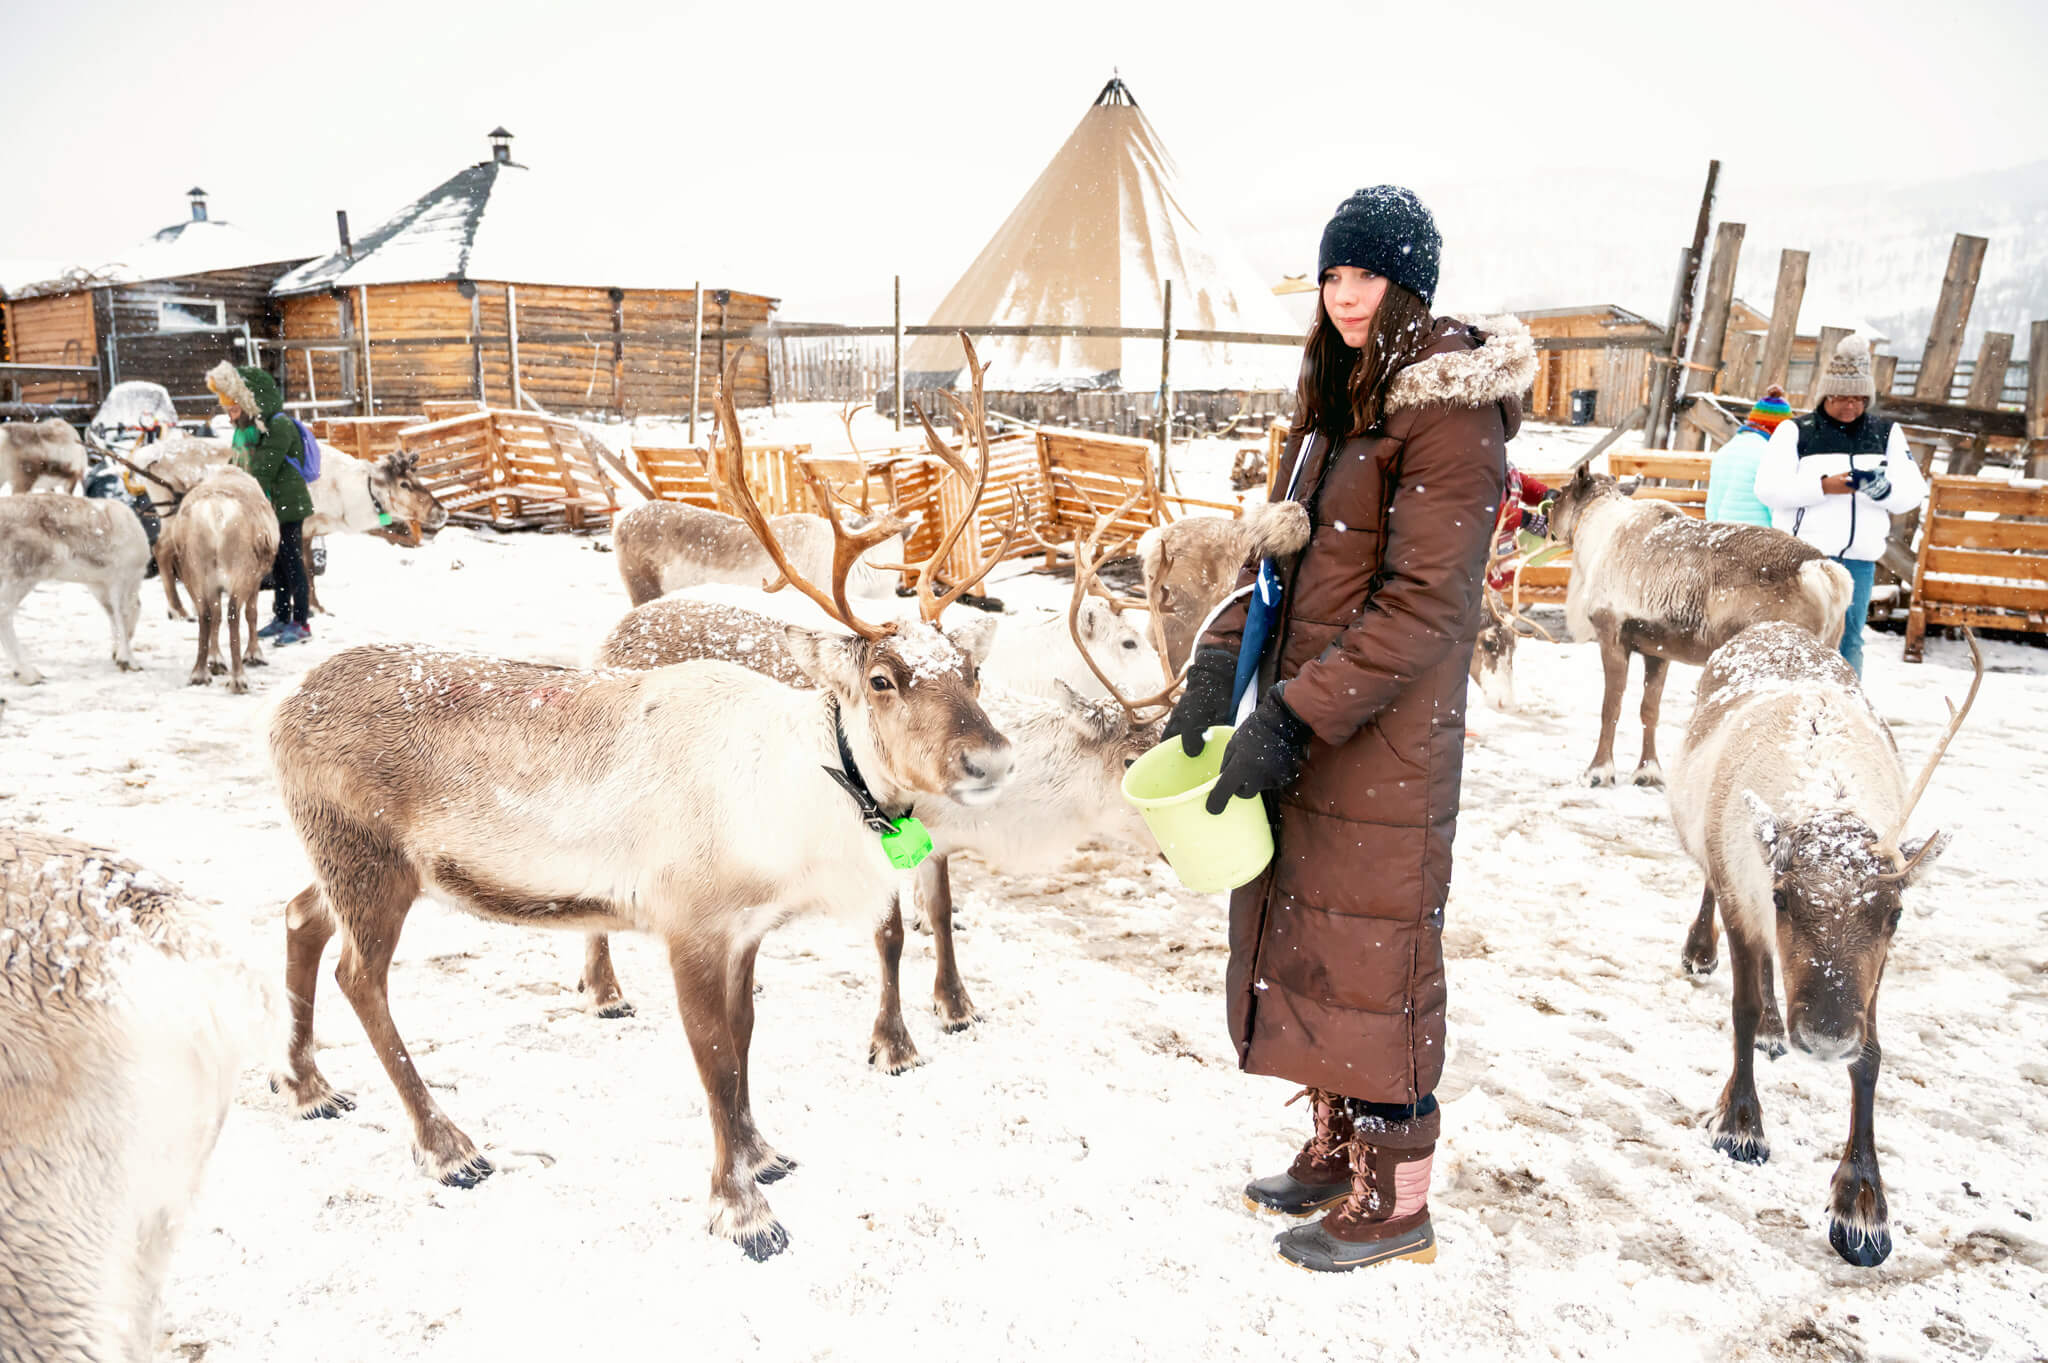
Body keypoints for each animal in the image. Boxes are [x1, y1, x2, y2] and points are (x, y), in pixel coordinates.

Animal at [0, 493, 150, 685]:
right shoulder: (124, 579)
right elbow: (125, 617)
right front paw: (129, 662)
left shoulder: (101, 586)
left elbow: (116, 618)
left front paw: (117, 655)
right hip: (23, 573)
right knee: (4, 612)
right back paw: (30, 674)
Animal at [153, 466, 280, 694]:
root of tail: (216, 512)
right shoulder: (255, 579)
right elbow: (251, 613)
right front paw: (254, 655)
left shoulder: (212, 586)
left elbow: (216, 615)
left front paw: (215, 659)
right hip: (241, 571)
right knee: (233, 614)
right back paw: (238, 679)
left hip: (194, 572)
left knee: (206, 614)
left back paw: (199, 673)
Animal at [265, 349, 1019, 1261]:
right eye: (882, 678)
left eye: (969, 669)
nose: (992, 756)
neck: (792, 796)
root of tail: (280, 712)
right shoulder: (687, 921)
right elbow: (715, 1058)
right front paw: (743, 1210)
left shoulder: (745, 929)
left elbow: (745, 1037)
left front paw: (764, 1154)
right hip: (373, 866)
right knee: (358, 976)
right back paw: (449, 1146)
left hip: (337, 855)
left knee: (300, 917)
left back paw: (309, 1085)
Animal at [1544, 466, 1856, 787]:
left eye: (1562, 491)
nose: (1545, 514)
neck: (1596, 535)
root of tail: (1824, 571)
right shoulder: (1657, 650)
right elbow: (1649, 710)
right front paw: (1648, 771)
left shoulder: (1612, 635)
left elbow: (1611, 708)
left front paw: (1598, 771)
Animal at [1667, 621, 1978, 1267]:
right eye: (1784, 897)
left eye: (1896, 913)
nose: (1825, 1037)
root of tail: (1772, 625)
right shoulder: (1743, 898)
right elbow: (1741, 1009)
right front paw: (1740, 1125)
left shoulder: (1873, 970)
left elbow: (1872, 1056)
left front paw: (1862, 1204)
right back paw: (1704, 955)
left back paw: (1774, 1030)